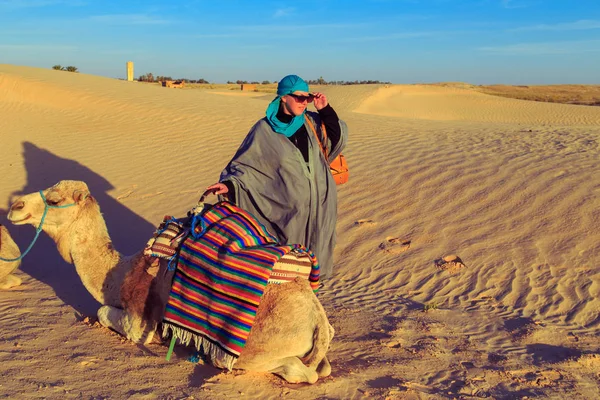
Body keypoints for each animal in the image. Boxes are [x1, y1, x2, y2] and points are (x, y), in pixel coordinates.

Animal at [7, 181, 332, 384]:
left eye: (54, 200)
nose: (15, 206)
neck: (120, 273)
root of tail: (317, 320)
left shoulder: (138, 320)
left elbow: (103, 313)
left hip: (256, 351)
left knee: (302, 372)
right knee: (323, 368)